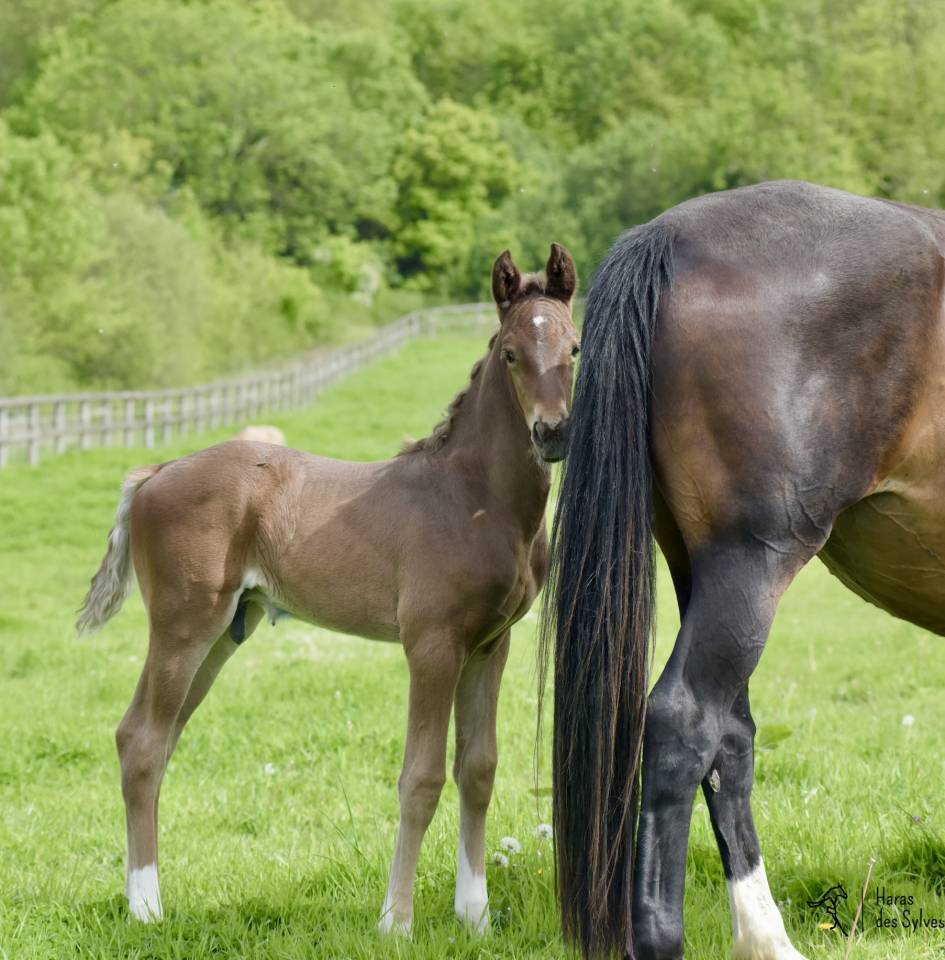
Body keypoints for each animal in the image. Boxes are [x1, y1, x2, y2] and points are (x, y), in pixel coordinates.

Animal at [77, 244, 580, 934]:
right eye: (509, 352)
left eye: (575, 347)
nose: (552, 433)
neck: (474, 497)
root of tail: (156, 472)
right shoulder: (432, 645)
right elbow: (421, 778)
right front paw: (397, 921)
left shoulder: (489, 645)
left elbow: (478, 769)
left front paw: (475, 917)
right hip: (183, 628)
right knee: (144, 742)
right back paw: (147, 907)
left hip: (224, 634)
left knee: (153, 737)